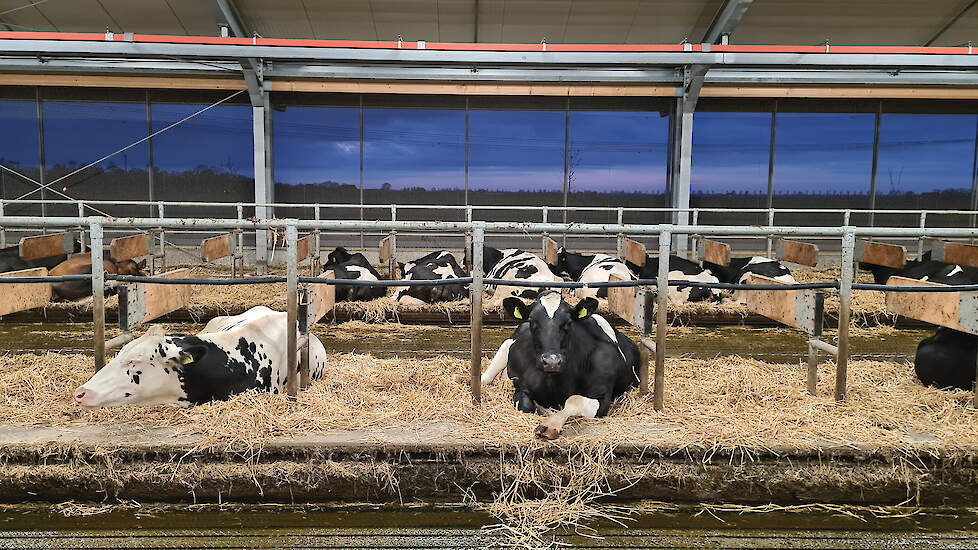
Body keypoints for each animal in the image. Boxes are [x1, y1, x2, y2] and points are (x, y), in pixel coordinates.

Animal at [480, 294, 640, 440]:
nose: (552, 361)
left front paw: (550, 424)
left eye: (568, 322)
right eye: (532, 321)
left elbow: (574, 401)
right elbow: (526, 406)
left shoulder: (602, 396)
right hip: (507, 346)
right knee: (487, 376)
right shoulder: (522, 387)